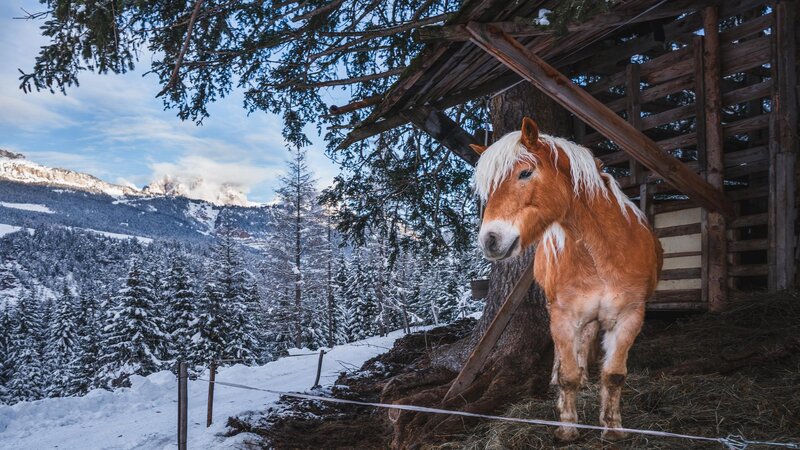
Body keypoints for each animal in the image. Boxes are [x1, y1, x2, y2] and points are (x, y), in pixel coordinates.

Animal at [471, 117, 663, 442]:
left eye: (525, 172)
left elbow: (614, 375)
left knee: (586, 340)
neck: (602, 254)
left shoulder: (629, 316)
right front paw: (568, 427)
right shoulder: (563, 315)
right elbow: (567, 376)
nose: (490, 240)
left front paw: (612, 427)